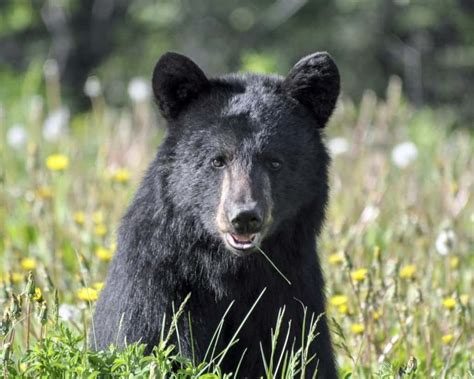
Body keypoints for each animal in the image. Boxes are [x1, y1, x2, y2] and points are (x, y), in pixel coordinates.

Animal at [93, 51, 340, 379]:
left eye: (274, 161)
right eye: (217, 160)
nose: (244, 216)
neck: (228, 271)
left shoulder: (294, 288)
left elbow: (303, 352)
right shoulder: (155, 288)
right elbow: (143, 337)